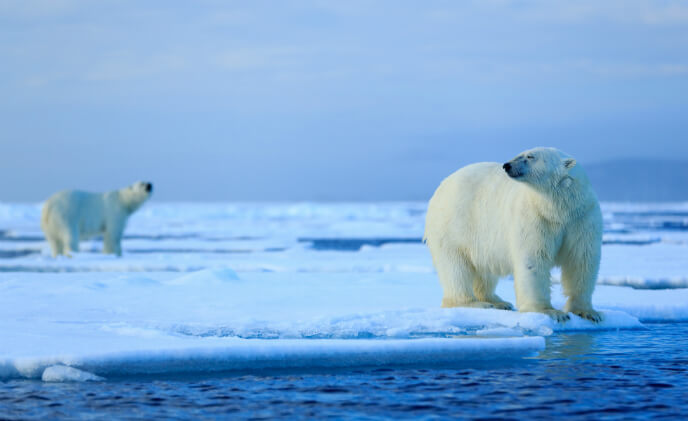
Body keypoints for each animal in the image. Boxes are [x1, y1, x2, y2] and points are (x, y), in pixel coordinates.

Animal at [424, 146, 600, 320]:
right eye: (520, 154)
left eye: (530, 156)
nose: (506, 165)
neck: (558, 210)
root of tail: (442, 185)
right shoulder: (535, 217)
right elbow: (534, 259)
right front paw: (549, 312)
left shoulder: (582, 218)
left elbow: (581, 260)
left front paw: (587, 312)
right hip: (453, 226)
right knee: (455, 267)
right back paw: (473, 303)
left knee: (484, 269)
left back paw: (497, 301)